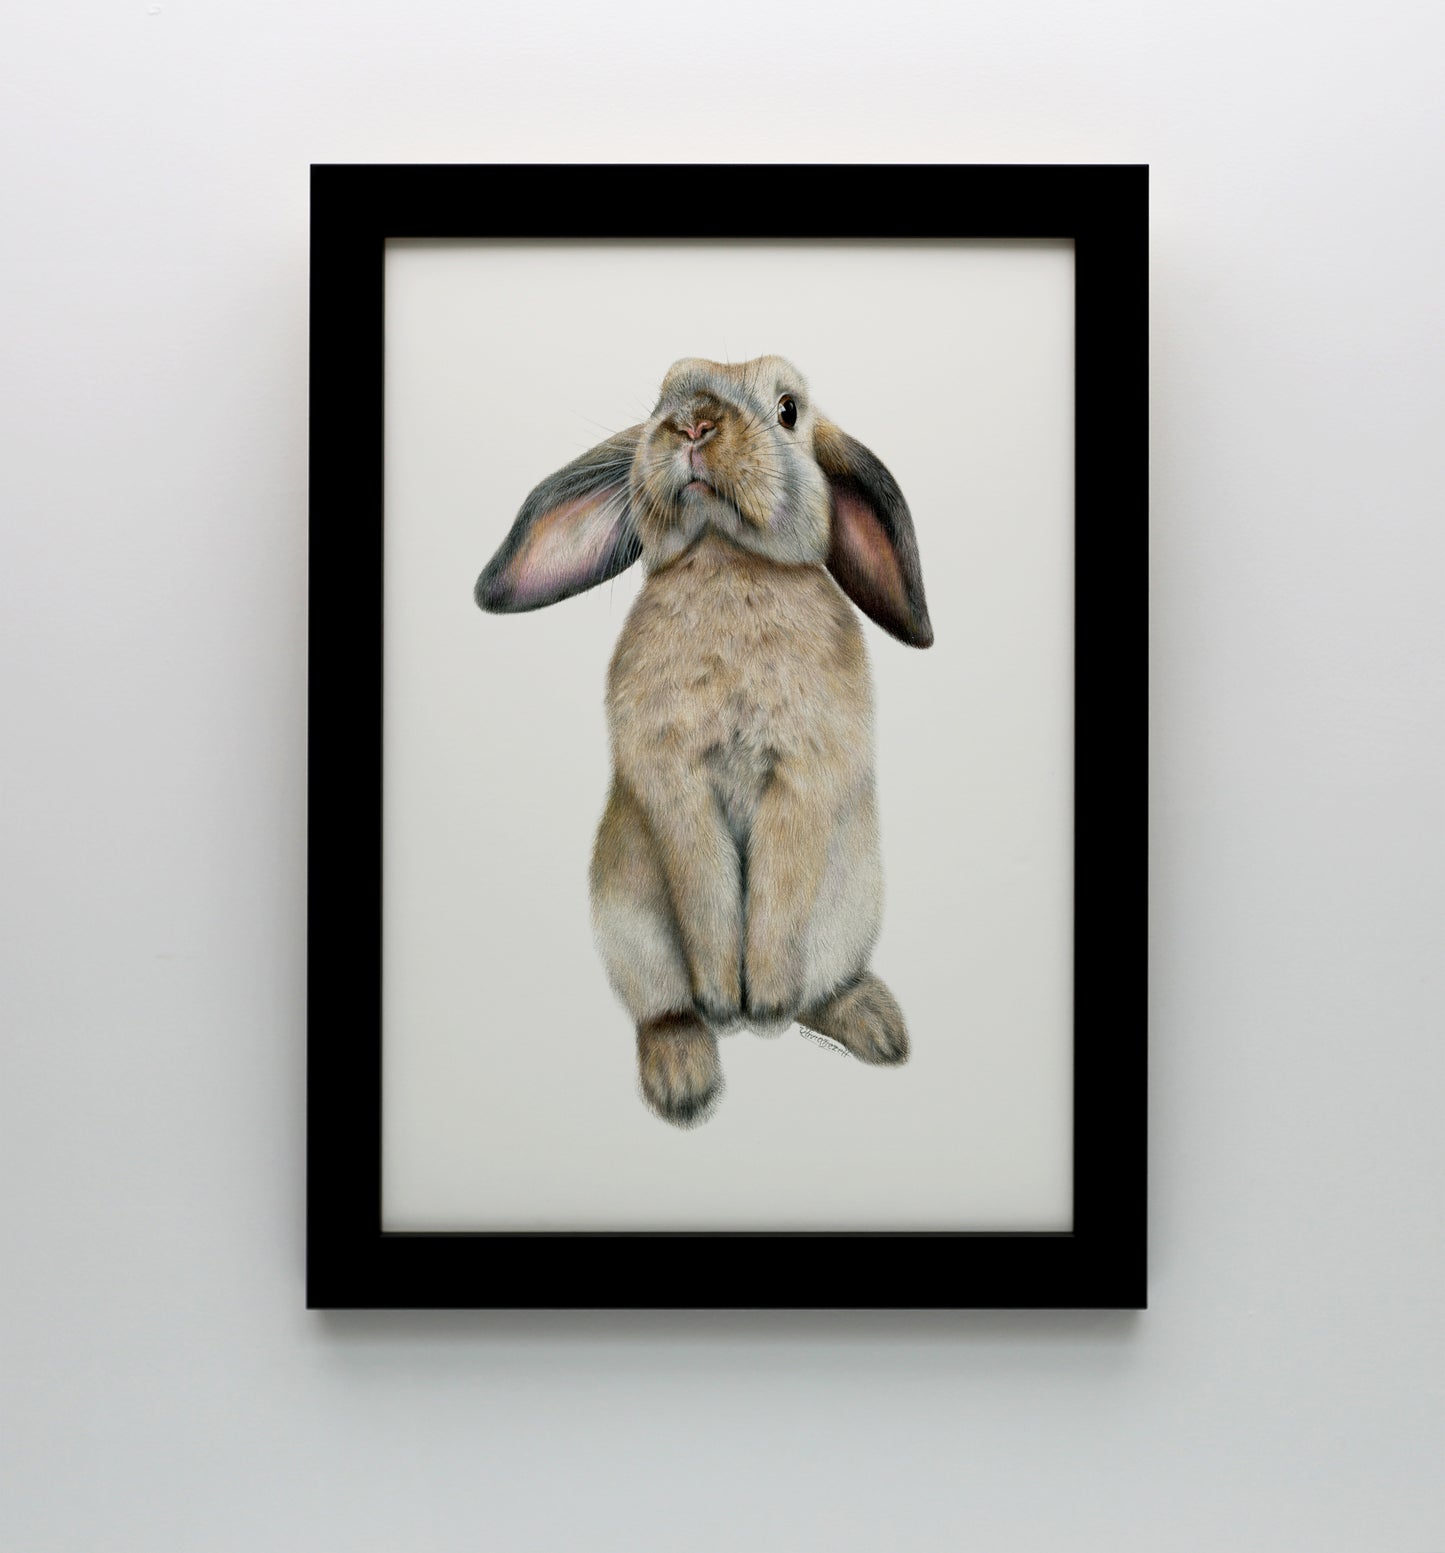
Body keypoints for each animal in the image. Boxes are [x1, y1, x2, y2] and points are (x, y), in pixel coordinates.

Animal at [475, 356, 932, 1127]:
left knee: (820, 987)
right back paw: (683, 1075)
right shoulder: (673, 783)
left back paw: (872, 1026)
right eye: (662, 393)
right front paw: (725, 1000)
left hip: (847, 913)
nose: (692, 422)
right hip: (632, 934)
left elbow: (777, 883)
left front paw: (764, 1000)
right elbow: (708, 887)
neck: (725, 558)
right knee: (662, 1010)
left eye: (788, 409)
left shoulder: (804, 776)